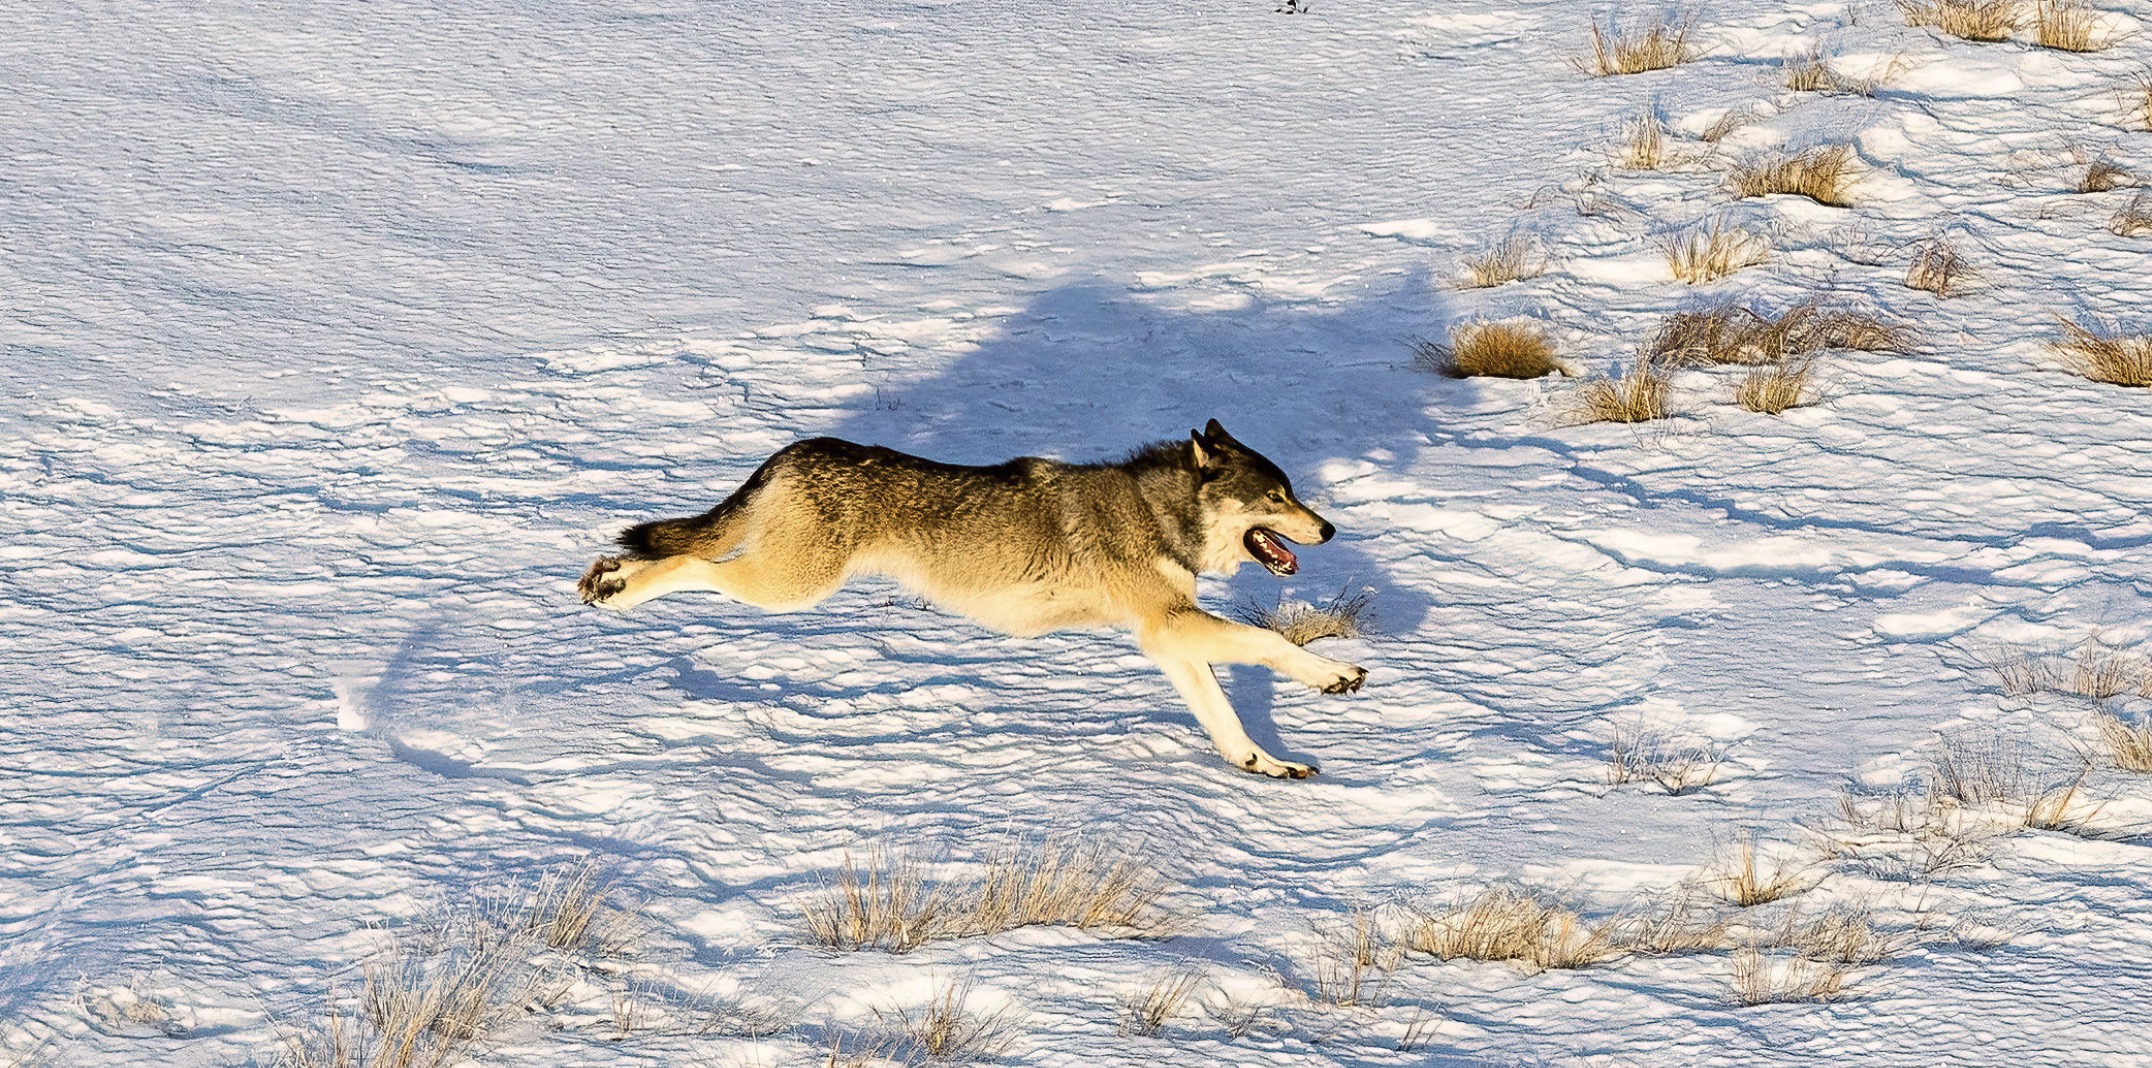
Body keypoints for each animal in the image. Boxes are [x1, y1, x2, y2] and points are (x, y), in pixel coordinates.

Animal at [577, 420, 1366, 778]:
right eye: (1276, 498)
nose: (1329, 528)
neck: (1157, 513)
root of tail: (798, 449)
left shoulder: (1167, 638)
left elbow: (1225, 720)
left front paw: (1265, 765)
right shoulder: (1168, 626)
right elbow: (1268, 642)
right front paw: (1335, 675)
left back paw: (604, 577)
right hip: (788, 588)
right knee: (685, 561)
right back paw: (614, 587)